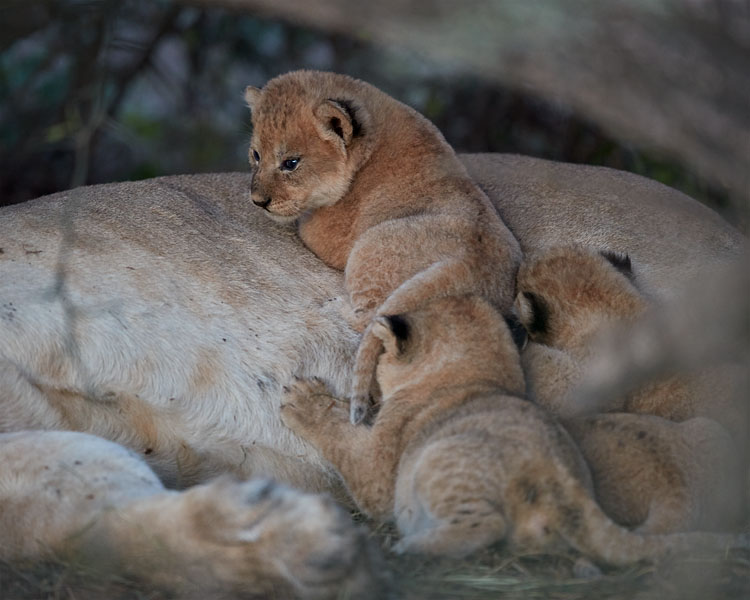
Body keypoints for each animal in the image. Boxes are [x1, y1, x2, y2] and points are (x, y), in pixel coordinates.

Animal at [244, 70, 522, 423]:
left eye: (291, 163)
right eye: (256, 155)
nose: (258, 201)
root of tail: (469, 262)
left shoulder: (326, 233)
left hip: (369, 248)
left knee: (368, 321)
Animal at [280, 295, 748, 563]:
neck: (473, 375)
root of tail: (568, 485)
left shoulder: (379, 474)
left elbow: (346, 445)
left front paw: (301, 400)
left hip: (438, 458)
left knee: (482, 525)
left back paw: (409, 547)